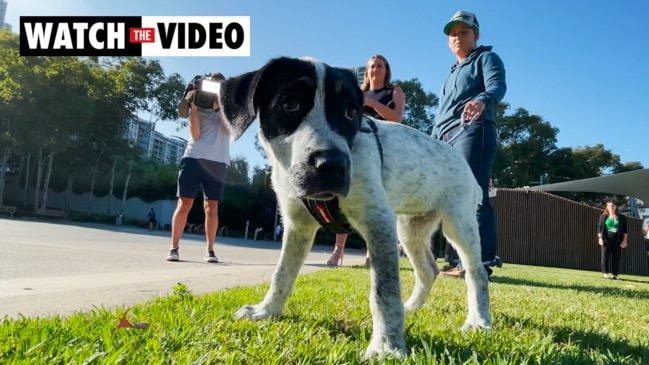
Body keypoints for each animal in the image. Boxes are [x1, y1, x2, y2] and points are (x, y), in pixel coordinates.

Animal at [215, 57, 488, 358]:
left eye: (350, 112)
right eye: (290, 104)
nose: (333, 166)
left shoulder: (378, 222)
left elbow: (383, 291)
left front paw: (386, 346)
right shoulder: (297, 226)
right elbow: (281, 274)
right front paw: (266, 311)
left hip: (458, 224)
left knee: (477, 273)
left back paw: (478, 321)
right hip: (410, 229)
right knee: (429, 270)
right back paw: (412, 308)